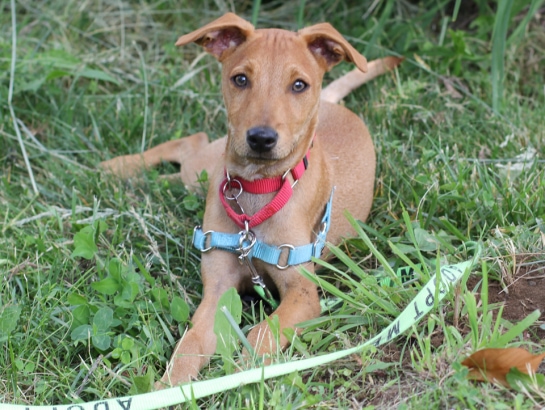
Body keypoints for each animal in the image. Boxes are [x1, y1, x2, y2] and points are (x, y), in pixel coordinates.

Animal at [99, 12, 400, 386]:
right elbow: (190, 344)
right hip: (202, 172)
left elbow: (262, 331)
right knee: (189, 143)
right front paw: (167, 387)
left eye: (299, 85)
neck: (258, 193)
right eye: (240, 79)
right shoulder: (217, 290)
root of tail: (331, 104)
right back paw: (116, 167)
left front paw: (242, 374)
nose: (261, 138)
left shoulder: (303, 292)